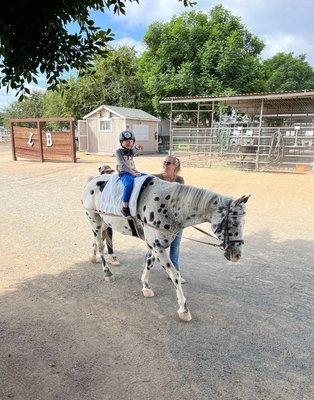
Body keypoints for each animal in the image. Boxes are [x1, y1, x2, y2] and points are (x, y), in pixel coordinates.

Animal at [81, 175, 250, 322]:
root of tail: (92, 181)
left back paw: (92, 257)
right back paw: (107, 272)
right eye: (233, 222)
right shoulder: (157, 246)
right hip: (95, 220)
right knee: (101, 245)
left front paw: (145, 286)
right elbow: (174, 274)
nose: (237, 255)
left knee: (97, 240)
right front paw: (184, 309)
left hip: (104, 222)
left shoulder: (156, 244)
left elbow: (149, 262)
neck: (168, 205)